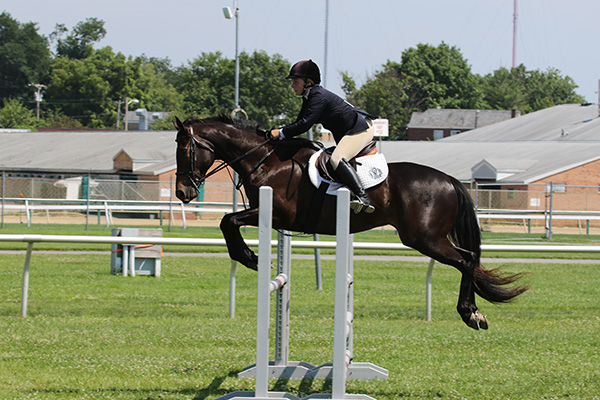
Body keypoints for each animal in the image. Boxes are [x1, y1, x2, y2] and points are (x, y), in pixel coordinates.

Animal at [173, 114, 524, 330]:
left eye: (185, 149)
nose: (182, 192)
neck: (265, 160)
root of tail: (451, 180)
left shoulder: (276, 213)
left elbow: (228, 221)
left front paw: (251, 258)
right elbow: (228, 221)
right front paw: (252, 258)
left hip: (424, 238)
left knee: (466, 260)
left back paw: (470, 314)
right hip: (427, 238)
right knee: (469, 260)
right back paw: (475, 312)